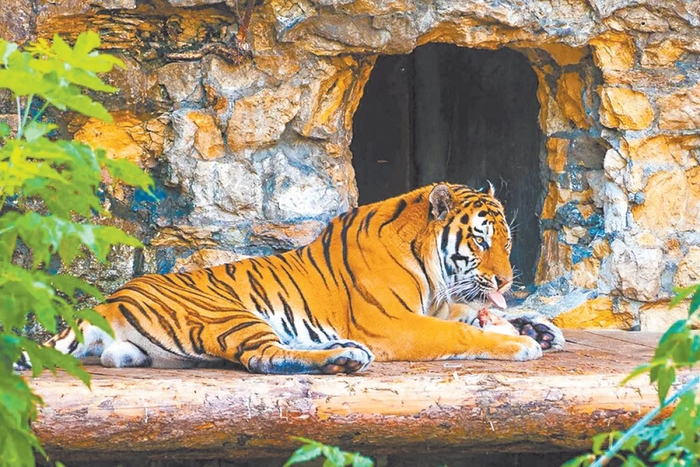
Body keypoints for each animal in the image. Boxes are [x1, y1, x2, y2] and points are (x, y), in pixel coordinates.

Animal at [17, 183, 564, 375]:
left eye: (507, 243)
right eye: (480, 242)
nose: (506, 281)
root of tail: (106, 300)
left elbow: (473, 313)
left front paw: (536, 327)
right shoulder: (395, 325)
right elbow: (460, 332)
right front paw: (519, 343)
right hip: (232, 315)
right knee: (262, 358)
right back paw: (344, 358)